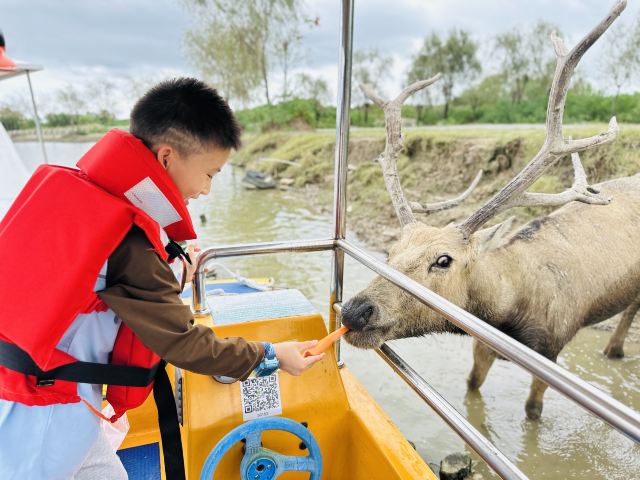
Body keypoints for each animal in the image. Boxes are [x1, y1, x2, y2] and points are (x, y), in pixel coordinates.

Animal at [340, 0, 637, 420]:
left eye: (444, 260)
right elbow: (472, 388)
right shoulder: (482, 345)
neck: (507, 315)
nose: (354, 311)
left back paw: (614, 349)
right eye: (390, 252)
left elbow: (533, 410)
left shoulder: (553, 349)